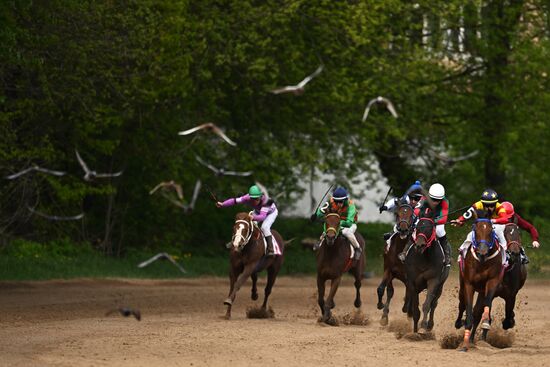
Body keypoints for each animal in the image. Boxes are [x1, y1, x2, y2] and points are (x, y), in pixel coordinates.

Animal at [458, 214, 504, 352]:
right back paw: (458, 322)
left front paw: (486, 321)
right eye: (476, 230)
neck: (482, 261)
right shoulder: (469, 284)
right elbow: (468, 309)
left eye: (490, 230)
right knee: (462, 304)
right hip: (462, 285)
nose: (483, 250)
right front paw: (464, 344)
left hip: (482, 290)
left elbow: (487, 302)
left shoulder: (492, 281)